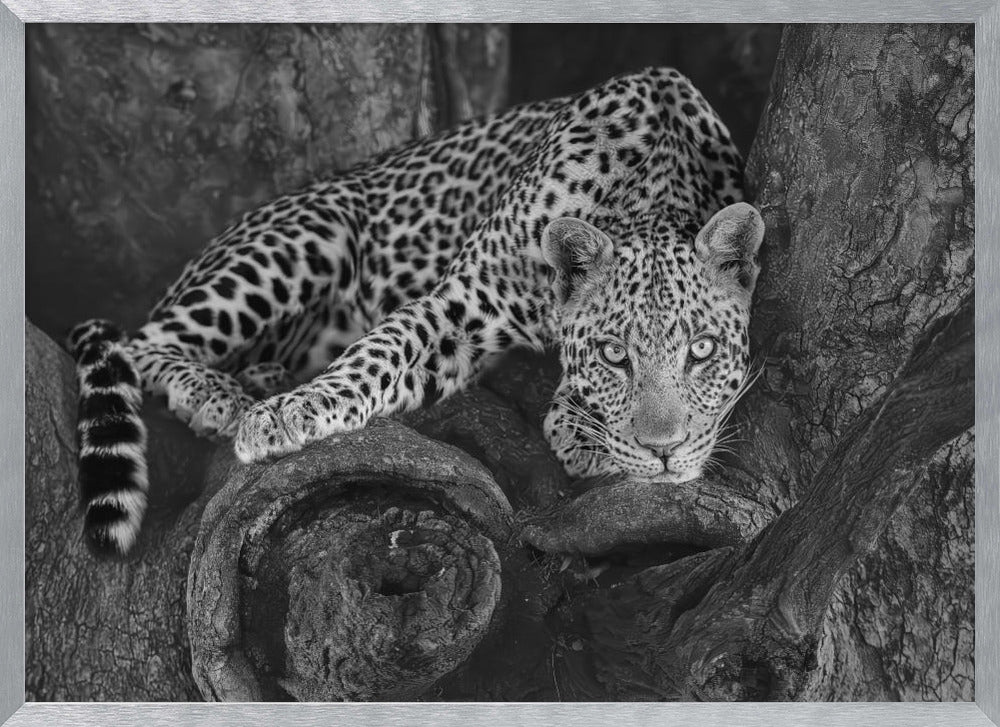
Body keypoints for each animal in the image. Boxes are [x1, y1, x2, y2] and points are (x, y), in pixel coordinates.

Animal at [68, 66, 764, 557]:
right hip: (307, 236)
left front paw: (581, 427)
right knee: (140, 342)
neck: (648, 186)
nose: (665, 452)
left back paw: (262, 376)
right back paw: (222, 397)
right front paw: (286, 417)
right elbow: (379, 352)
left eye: (702, 350)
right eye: (615, 356)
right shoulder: (461, 302)